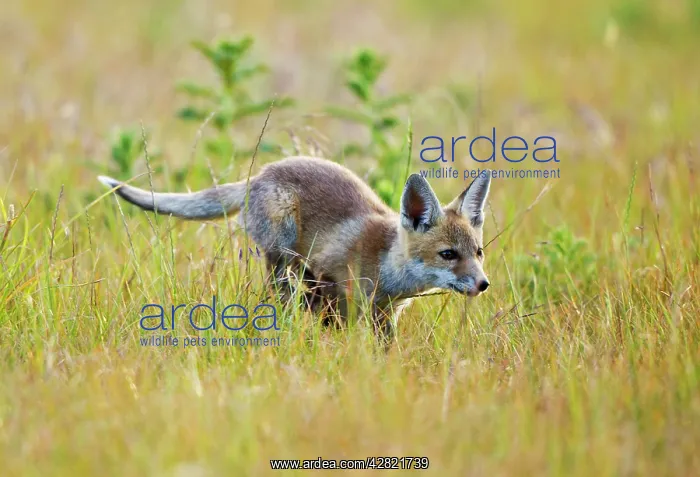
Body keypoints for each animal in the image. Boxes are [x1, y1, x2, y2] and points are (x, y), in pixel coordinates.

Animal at [98, 156, 491, 335]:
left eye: (478, 252)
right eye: (448, 255)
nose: (484, 284)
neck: (387, 269)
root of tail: (260, 174)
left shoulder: (385, 316)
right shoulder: (331, 279)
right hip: (282, 247)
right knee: (280, 290)